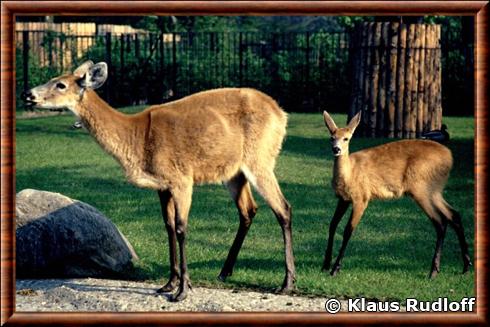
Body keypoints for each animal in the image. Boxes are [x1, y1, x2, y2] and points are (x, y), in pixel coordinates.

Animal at [23, 61, 294, 302]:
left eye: (60, 84)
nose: (28, 94)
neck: (136, 138)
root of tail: (281, 114)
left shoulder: (182, 178)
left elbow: (182, 228)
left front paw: (182, 291)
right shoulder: (163, 186)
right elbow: (168, 226)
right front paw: (168, 284)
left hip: (260, 158)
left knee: (283, 208)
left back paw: (287, 283)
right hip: (234, 172)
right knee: (248, 210)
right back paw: (224, 272)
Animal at [322, 112, 470, 280]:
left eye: (346, 138)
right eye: (331, 137)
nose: (336, 149)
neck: (349, 173)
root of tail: (450, 157)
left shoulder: (362, 198)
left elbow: (348, 230)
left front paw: (335, 269)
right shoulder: (343, 199)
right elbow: (332, 225)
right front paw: (325, 265)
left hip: (420, 188)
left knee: (440, 221)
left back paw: (433, 271)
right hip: (434, 190)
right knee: (453, 215)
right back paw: (465, 266)